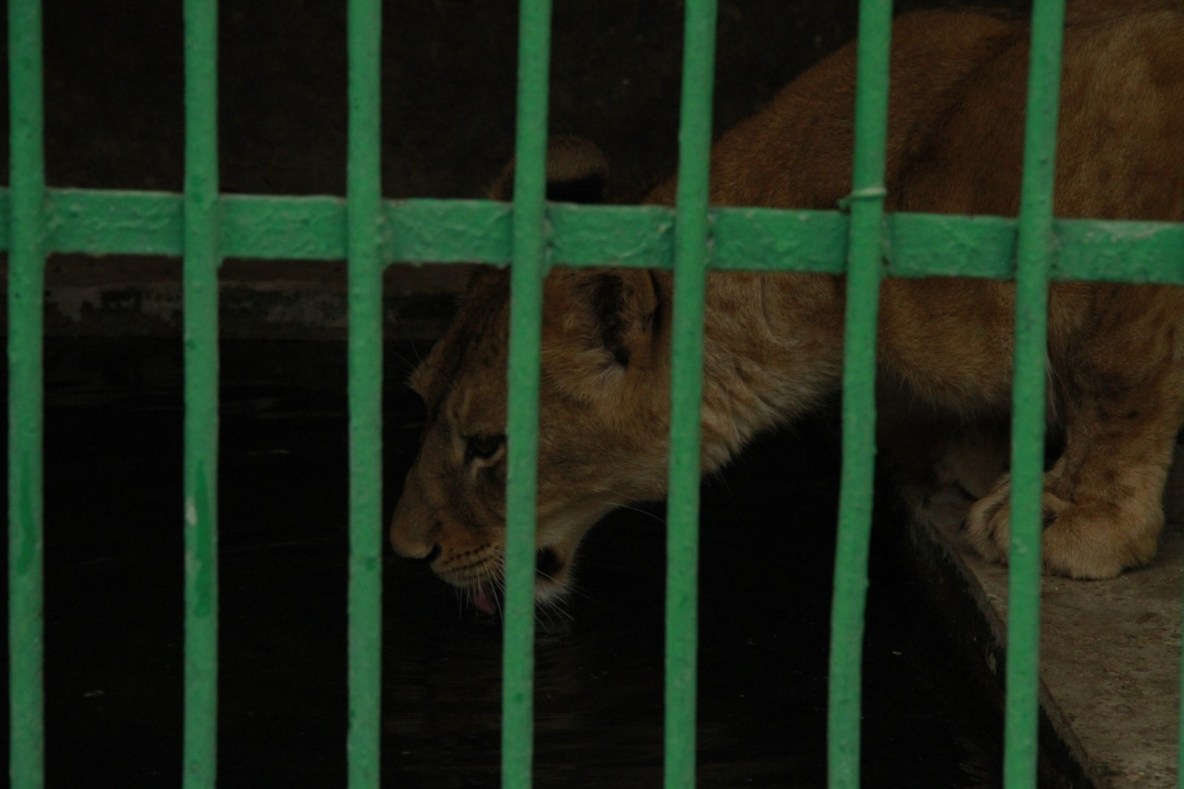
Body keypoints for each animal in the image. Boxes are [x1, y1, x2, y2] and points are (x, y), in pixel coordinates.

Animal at [389, 7, 1184, 611]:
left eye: (489, 444)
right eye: (420, 399)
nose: (404, 549)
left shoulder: (1129, 125)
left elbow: (1115, 378)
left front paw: (1079, 515)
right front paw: (981, 450)